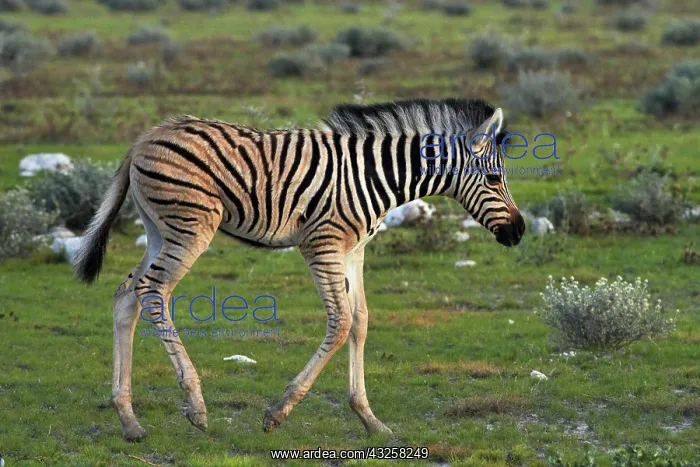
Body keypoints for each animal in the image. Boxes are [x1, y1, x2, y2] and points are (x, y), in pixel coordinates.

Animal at [73, 98, 525, 440]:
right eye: (494, 178)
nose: (519, 231)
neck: (377, 176)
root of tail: (146, 137)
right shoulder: (321, 244)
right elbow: (340, 323)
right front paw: (279, 411)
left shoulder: (354, 250)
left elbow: (361, 321)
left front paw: (369, 419)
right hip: (191, 224)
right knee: (153, 291)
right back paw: (195, 406)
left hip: (159, 228)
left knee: (127, 295)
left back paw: (128, 418)